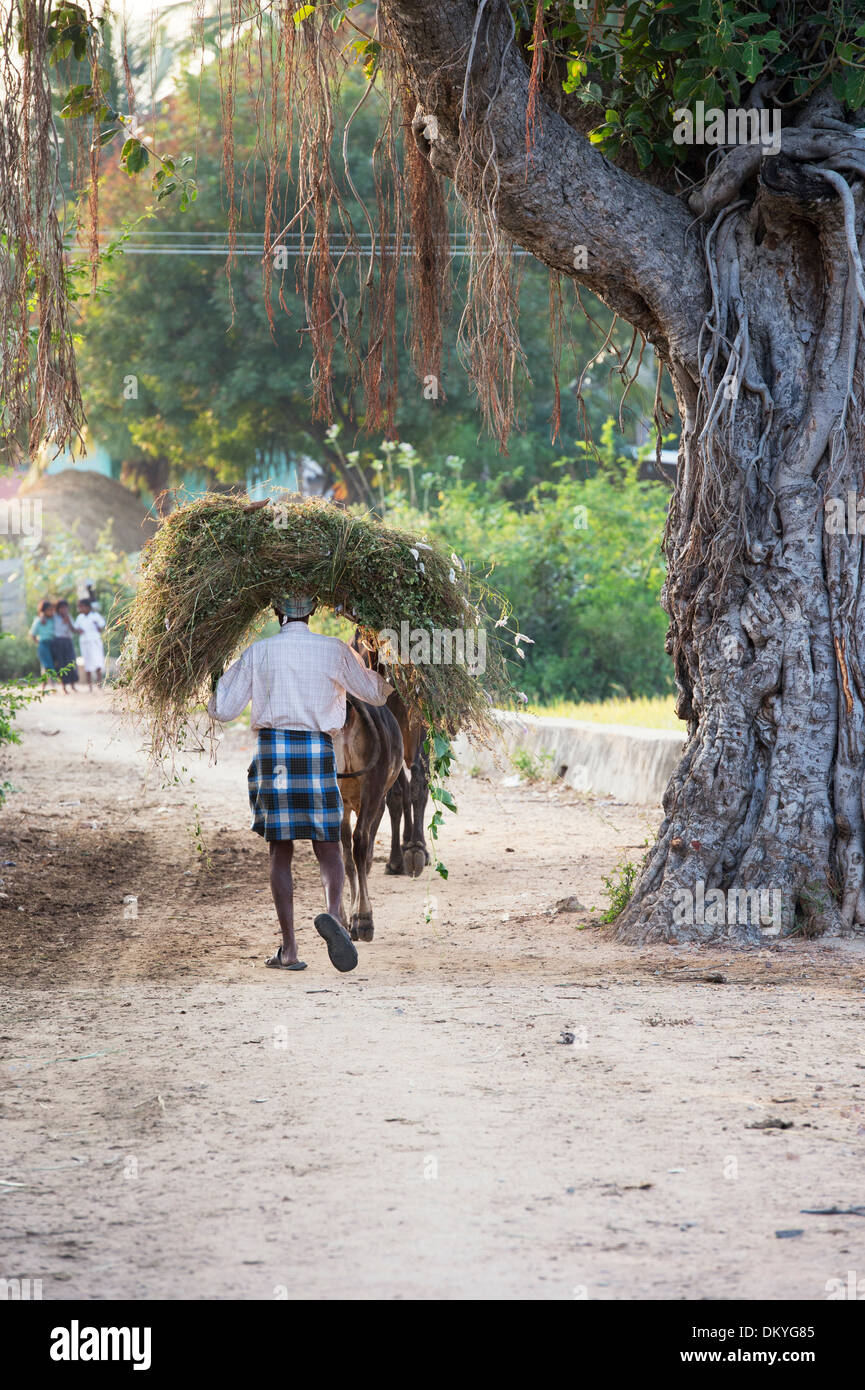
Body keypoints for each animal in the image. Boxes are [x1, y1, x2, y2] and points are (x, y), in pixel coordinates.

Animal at [332, 695, 406, 945]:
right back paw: (364, 919)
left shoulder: (345, 804)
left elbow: (346, 859)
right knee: (362, 841)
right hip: (373, 787)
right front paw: (357, 918)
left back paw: (340, 918)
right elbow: (364, 857)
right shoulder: (379, 800)